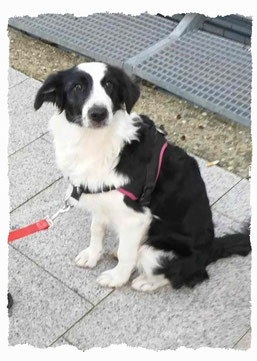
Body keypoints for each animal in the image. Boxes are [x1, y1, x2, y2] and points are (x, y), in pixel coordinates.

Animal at [34, 62, 250, 292]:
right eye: (77, 87)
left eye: (109, 84)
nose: (98, 113)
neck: (97, 142)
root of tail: (211, 249)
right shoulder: (100, 198)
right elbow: (97, 229)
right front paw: (93, 255)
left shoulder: (136, 217)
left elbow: (126, 254)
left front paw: (117, 278)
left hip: (157, 251)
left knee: (186, 276)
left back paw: (146, 281)